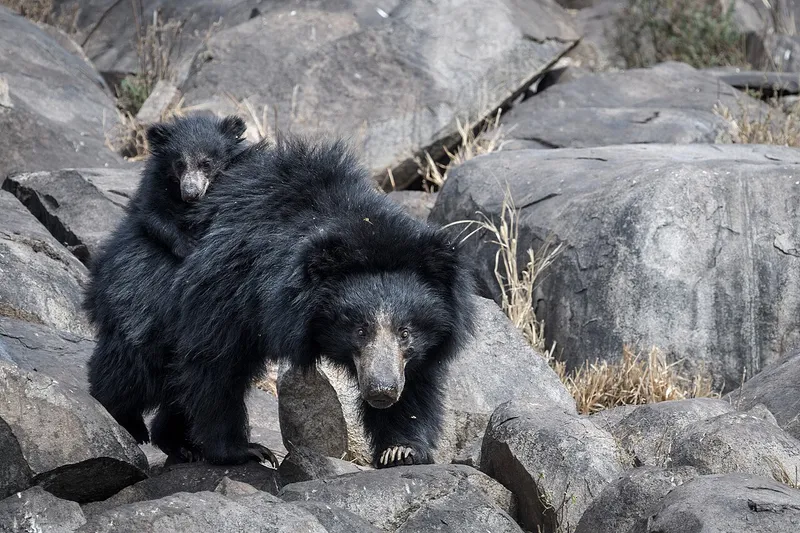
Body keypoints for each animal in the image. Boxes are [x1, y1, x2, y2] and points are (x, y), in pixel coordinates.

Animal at [85, 136, 475, 468]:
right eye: (359, 330)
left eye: (405, 332)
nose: (382, 390)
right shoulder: (227, 286)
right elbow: (213, 361)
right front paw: (244, 451)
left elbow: (419, 383)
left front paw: (402, 450)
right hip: (145, 291)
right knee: (137, 366)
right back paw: (121, 420)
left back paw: (179, 443)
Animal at [136, 114, 248, 259]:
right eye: (179, 164)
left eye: (206, 164)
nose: (190, 194)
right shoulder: (156, 180)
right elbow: (154, 212)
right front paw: (187, 246)